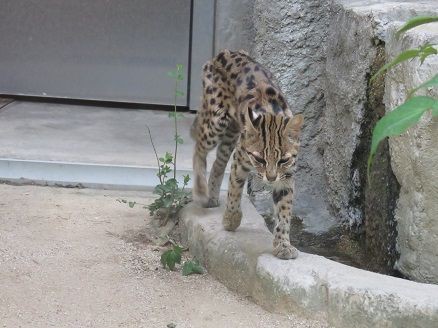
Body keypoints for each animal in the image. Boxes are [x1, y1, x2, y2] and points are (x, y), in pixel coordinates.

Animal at [190, 49, 302, 258]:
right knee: (198, 147)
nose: (270, 178)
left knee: (218, 163)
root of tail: (224, 52)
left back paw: (212, 195)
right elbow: (234, 188)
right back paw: (201, 190)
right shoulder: (241, 158)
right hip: (216, 121)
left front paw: (283, 244)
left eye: (283, 160)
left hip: (231, 134)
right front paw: (231, 219)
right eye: (259, 159)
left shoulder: (287, 175)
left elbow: (285, 210)